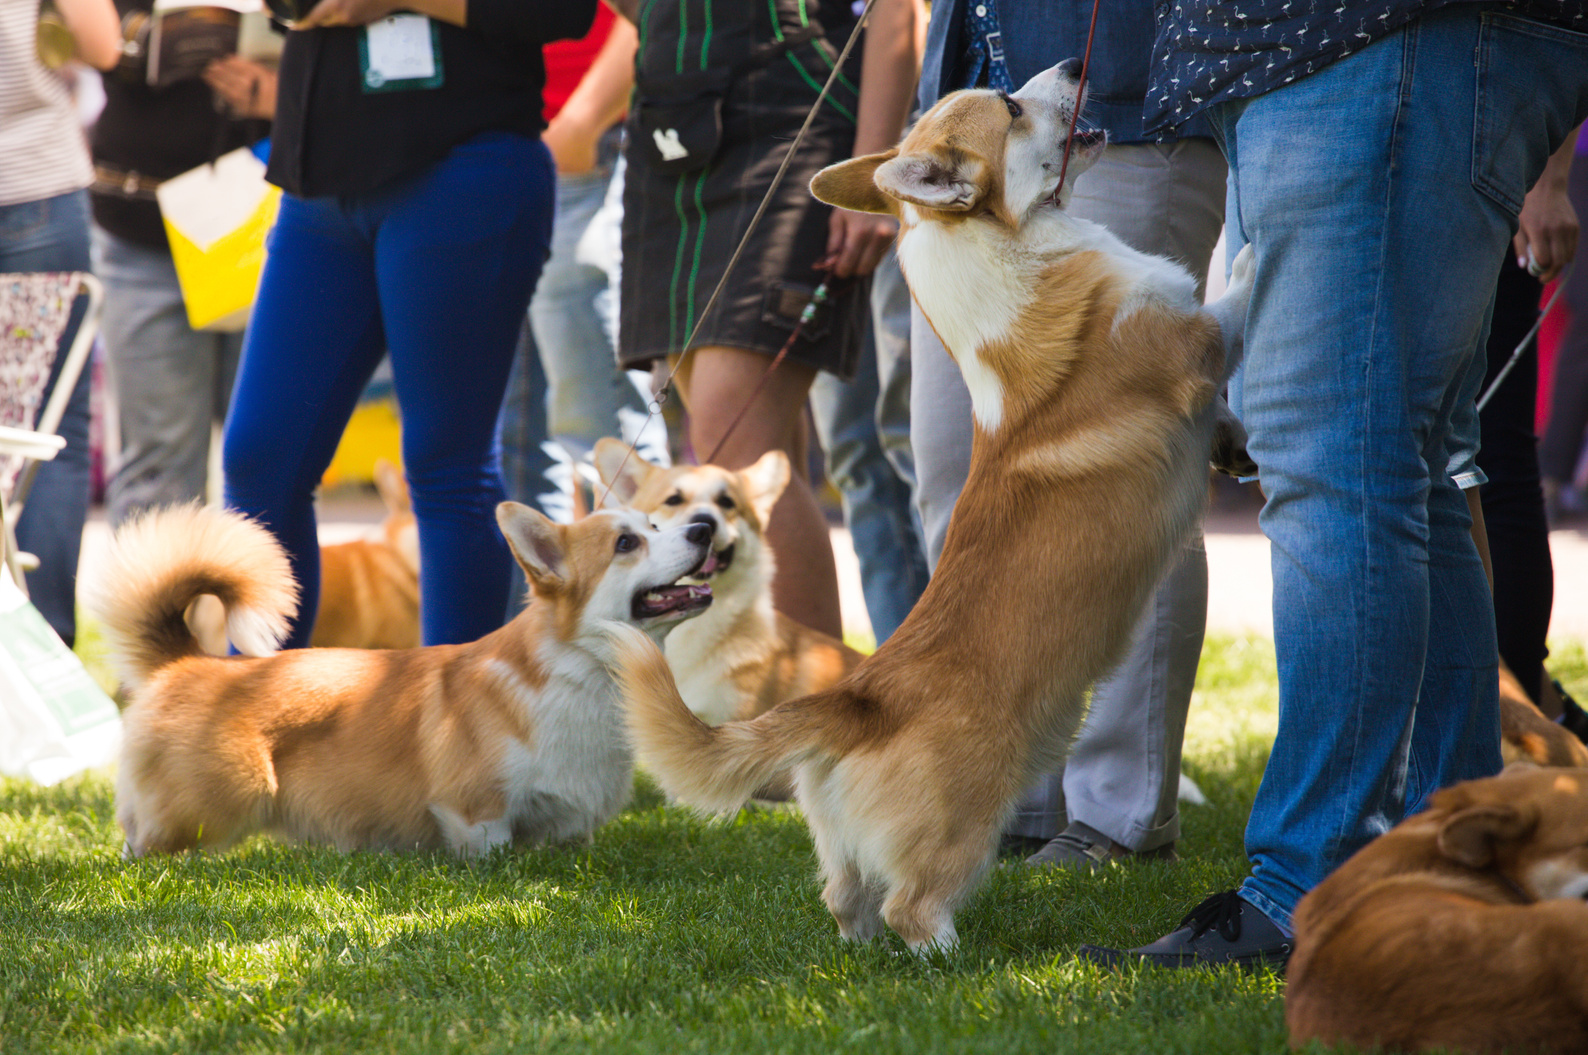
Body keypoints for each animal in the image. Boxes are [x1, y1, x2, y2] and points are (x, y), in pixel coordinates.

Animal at [92, 502, 714, 857]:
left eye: (653, 524)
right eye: (626, 544)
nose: (705, 528)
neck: (579, 673)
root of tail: (185, 662)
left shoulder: (567, 825)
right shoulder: (474, 811)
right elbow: (489, 849)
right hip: (224, 798)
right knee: (144, 845)